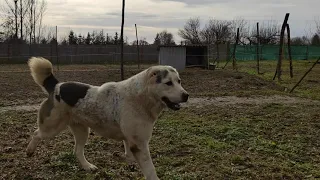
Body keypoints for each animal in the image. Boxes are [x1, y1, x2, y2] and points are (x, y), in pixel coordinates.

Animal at [26, 57, 190, 179]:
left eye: (179, 81)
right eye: (168, 83)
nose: (186, 95)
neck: (142, 97)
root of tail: (56, 86)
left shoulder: (131, 141)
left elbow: (129, 156)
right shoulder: (140, 144)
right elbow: (150, 170)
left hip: (82, 131)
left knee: (77, 151)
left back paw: (88, 167)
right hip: (52, 127)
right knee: (36, 133)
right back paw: (30, 151)